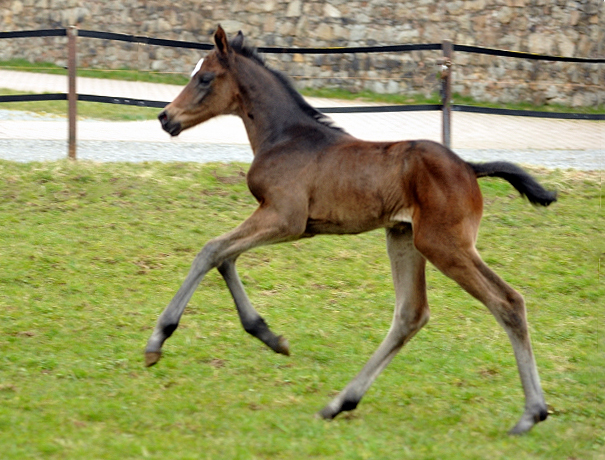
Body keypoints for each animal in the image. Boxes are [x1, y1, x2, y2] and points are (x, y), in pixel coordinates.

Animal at [145, 26, 552, 434]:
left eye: (204, 78)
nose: (166, 117)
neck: (285, 136)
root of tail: (470, 167)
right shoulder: (285, 222)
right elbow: (226, 258)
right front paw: (270, 336)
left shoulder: (285, 218)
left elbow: (211, 251)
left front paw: (158, 339)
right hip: (404, 237)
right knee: (411, 313)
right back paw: (339, 403)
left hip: (443, 244)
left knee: (507, 302)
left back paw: (530, 414)